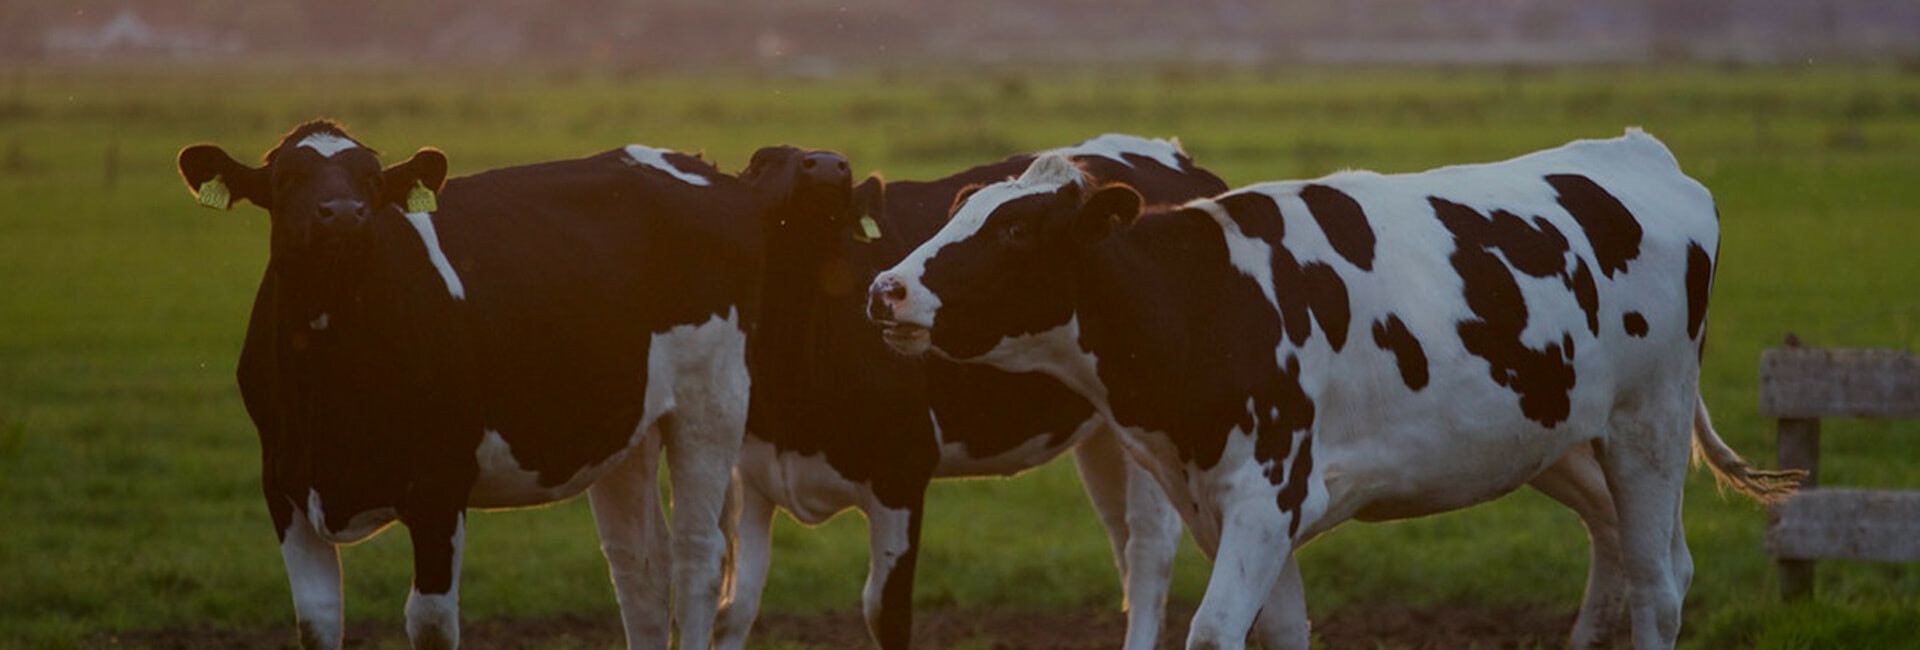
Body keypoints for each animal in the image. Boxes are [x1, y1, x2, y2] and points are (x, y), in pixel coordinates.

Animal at [176, 120, 852, 650]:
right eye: (286, 179)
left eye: (370, 179)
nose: (343, 215)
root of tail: (709, 171)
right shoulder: (284, 485)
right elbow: (317, 622)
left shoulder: (439, 486)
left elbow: (429, 622)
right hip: (625, 426)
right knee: (640, 568)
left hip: (711, 403)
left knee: (696, 560)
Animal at [721, 133, 1228, 650]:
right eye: (761, 162)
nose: (827, 165)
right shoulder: (751, 475)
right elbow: (735, 607)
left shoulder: (901, 475)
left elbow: (886, 613)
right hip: (1107, 434)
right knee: (1121, 539)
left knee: (1148, 551)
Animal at [864, 129, 1804, 648]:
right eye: (960, 210)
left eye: (1017, 230)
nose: (886, 289)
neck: (1207, 300)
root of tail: (1639, 153)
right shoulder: (1226, 508)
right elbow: (1277, 632)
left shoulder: (1267, 494)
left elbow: (1213, 633)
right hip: (1555, 436)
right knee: (1628, 550)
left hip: (1648, 426)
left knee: (1658, 586)